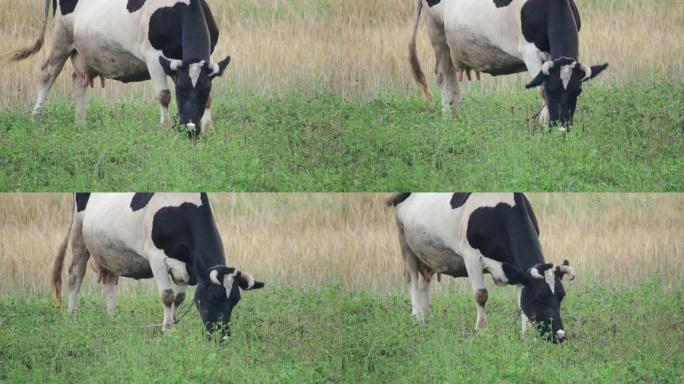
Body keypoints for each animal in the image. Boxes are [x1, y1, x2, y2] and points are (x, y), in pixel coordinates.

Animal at [4, 0, 232, 135]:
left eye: (205, 89)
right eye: (181, 90)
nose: (191, 129)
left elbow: (209, 99)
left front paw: (208, 128)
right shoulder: (153, 57)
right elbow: (164, 96)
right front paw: (165, 127)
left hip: (83, 51)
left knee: (78, 80)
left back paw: (80, 123)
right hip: (62, 38)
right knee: (47, 73)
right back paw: (36, 117)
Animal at [50, 192, 264, 340]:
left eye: (235, 300)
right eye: (214, 297)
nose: (223, 337)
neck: (181, 211)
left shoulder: (186, 267)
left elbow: (178, 298)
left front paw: (174, 325)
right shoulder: (156, 257)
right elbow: (167, 295)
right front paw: (167, 331)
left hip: (109, 250)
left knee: (109, 283)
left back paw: (113, 320)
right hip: (78, 232)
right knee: (75, 276)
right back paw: (71, 316)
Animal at [388, 194, 576, 344]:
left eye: (561, 296)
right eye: (539, 298)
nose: (560, 336)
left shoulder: (517, 271)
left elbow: (521, 300)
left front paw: (525, 336)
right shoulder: (471, 256)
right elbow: (481, 295)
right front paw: (482, 331)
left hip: (429, 253)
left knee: (425, 282)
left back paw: (426, 316)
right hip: (404, 241)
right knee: (411, 277)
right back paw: (417, 317)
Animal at [408, 0, 608, 130]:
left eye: (578, 91)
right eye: (552, 90)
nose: (562, 128)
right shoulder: (530, 53)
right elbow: (541, 90)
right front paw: (544, 127)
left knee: (453, 81)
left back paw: (457, 118)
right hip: (437, 33)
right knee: (442, 77)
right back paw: (447, 120)